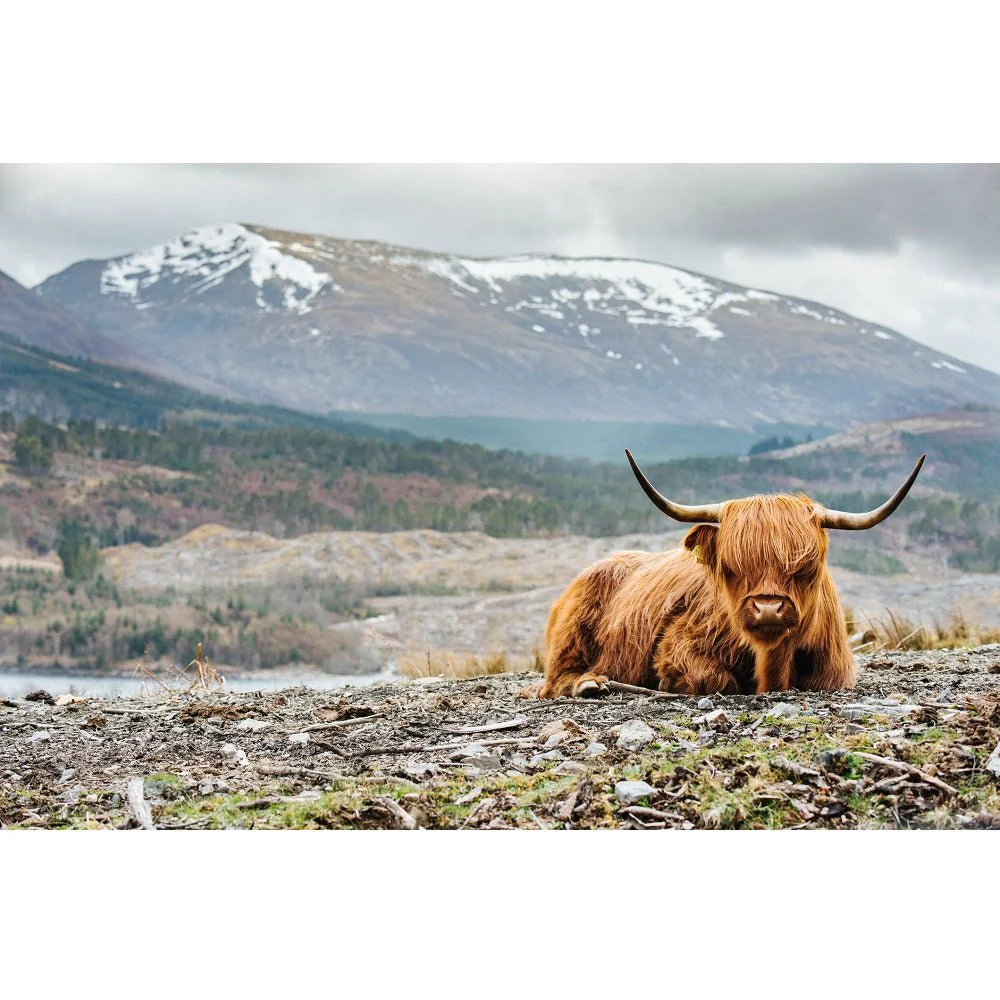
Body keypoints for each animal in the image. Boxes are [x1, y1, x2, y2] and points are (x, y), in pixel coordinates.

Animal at [529, 450, 925, 698]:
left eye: (806, 566)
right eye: (732, 567)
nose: (768, 609)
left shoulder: (834, 671)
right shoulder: (679, 643)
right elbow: (715, 678)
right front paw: (671, 685)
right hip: (572, 630)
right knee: (555, 678)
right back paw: (589, 684)